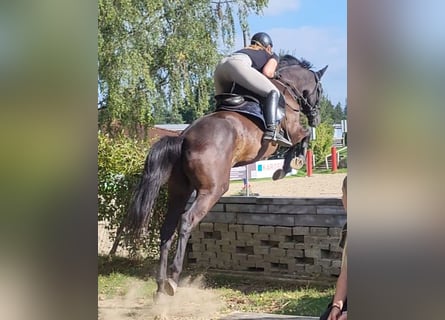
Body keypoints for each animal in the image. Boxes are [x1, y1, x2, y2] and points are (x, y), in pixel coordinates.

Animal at [125, 54, 326, 298]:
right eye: (320, 90)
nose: (316, 118)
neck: (287, 88)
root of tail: (183, 137)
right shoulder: (294, 130)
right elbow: (303, 138)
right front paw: (288, 166)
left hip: (179, 191)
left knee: (168, 227)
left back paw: (160, 285)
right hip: (213, 189)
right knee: (187, 220)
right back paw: (173, 278)